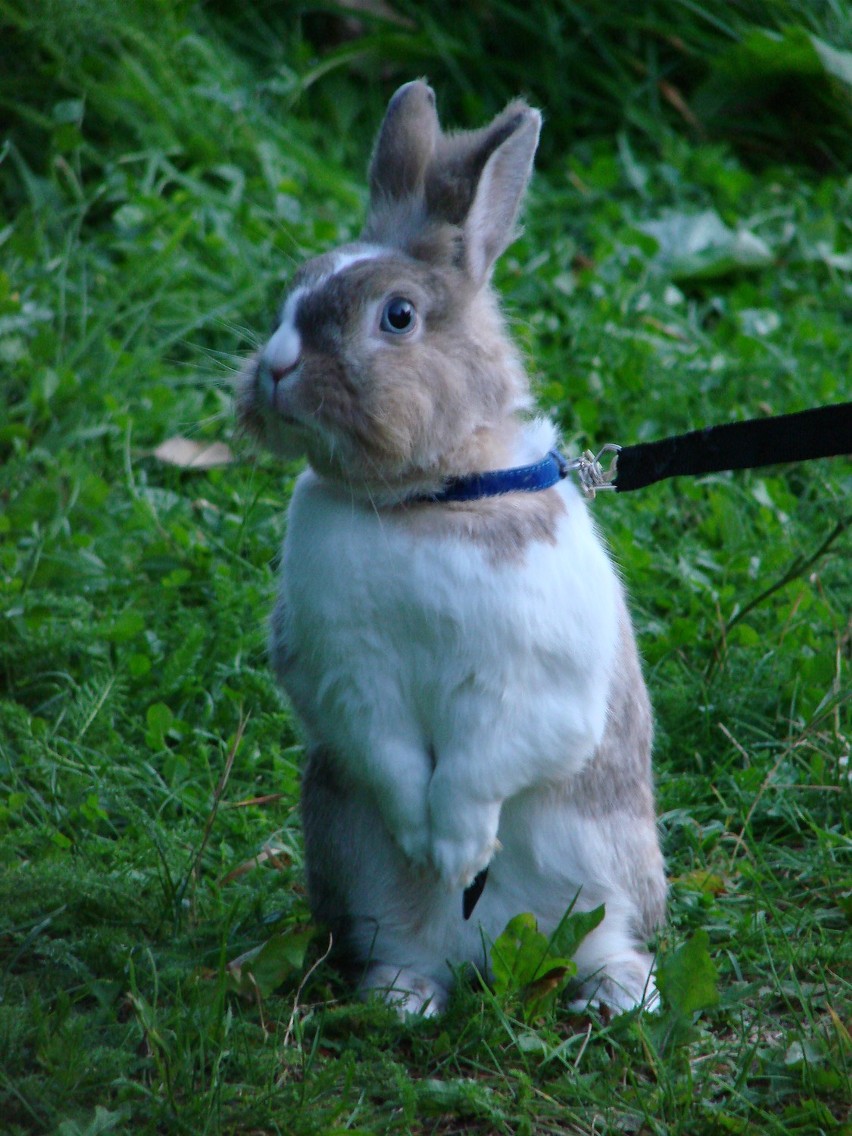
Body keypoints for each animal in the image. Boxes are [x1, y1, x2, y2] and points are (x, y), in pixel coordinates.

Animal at [237, 84, 672, 1017]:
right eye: (292, 293)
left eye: (398, 317)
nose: (277, 369)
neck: (421, 500)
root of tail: (486, 950)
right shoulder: (348, 671)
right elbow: (394, 759)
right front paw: (429, 843)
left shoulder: (529, 679)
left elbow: (479, 765)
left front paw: (460, 849)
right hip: (359, 870)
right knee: (404, 944)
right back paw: (402, 998)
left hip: (604, 872)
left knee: (599, 939)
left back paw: (618, 995)